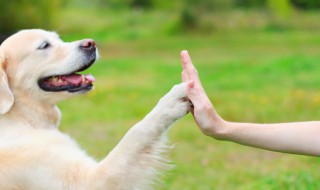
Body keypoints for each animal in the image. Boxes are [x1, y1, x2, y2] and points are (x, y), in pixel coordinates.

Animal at [0, 29, 190, 189]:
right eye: (44, 45)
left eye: (58, 38)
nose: (91, 43)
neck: (21, 117)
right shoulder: (89, 181)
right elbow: (136, 133)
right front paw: (172, 101)